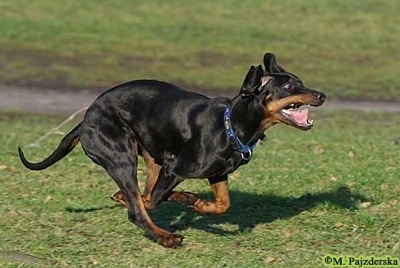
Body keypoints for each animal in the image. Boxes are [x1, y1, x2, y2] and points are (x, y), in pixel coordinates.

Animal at [18, 52, 324, 247]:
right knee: (139, 207)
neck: (231, 125)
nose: (321, 95)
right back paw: (165, 236)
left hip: (150, 156)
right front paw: (189, 205)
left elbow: (223, 204)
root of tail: (85, 120)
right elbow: (152, 201)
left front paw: (198, 204)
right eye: (288, 86)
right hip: (122, 157)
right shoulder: (174, 168)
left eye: (300, 81)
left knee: (144, 195)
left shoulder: (216, 173)